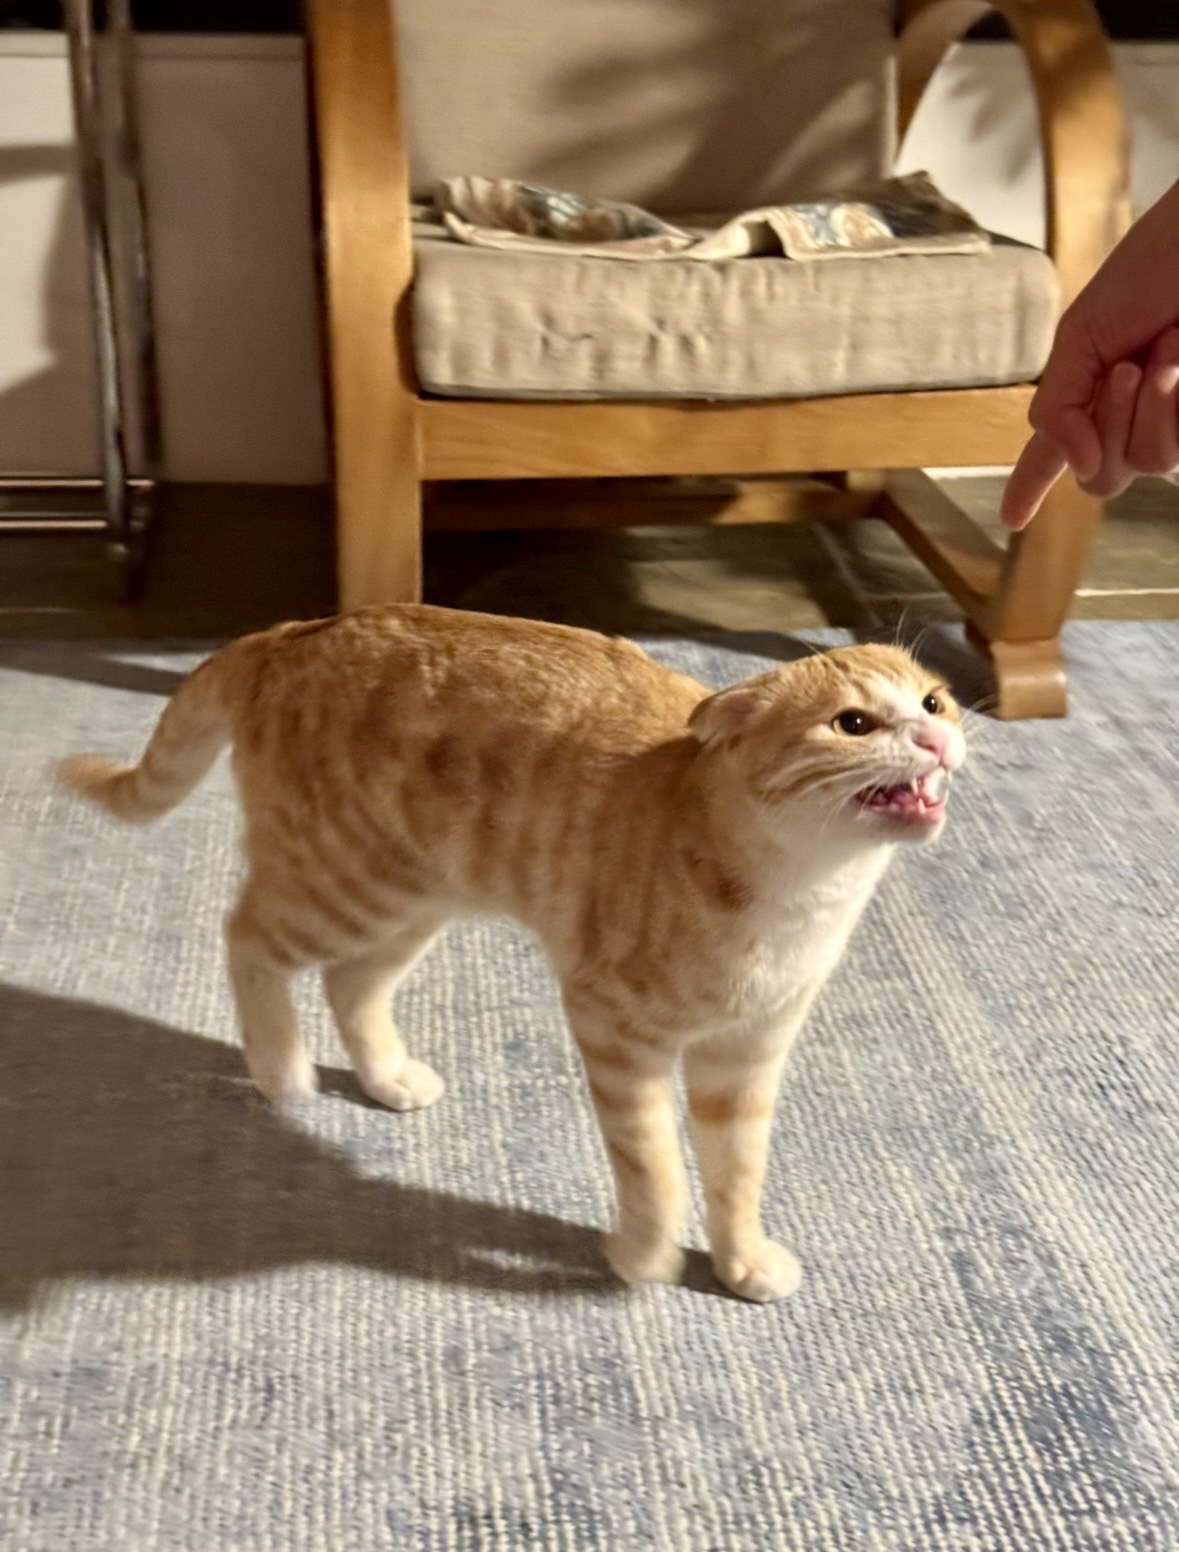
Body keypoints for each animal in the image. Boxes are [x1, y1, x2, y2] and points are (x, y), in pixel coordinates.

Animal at [58, 604, 964, 1303]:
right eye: (853, 723)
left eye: (935, 699)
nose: (934, 739)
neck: (798, 901)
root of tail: (293, 630)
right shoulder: (613, 1031)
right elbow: (654, 1166)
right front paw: (645, 1257)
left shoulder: (744, 1058)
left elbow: (736, 1172)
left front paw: (740, 1261)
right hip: (342, 887)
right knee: (247, 936)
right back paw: (281, 1069)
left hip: (408, 903)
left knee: (351, 983)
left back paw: (387, 1076)